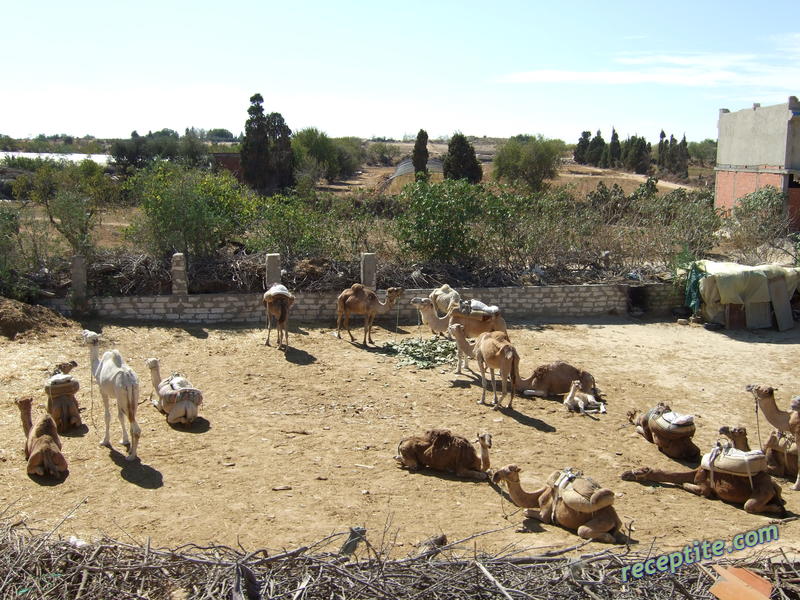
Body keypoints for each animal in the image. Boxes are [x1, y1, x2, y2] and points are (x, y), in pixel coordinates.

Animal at [82, 330, 141, 462]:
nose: (83, 332)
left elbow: (107, 416)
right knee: (131, 421)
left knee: (136, 429)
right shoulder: (118, 397)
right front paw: (124, 440)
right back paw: (131, 451)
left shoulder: (103, 391)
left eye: (88, 336)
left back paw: (131, 457)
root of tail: (129, 382)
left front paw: (104, 441)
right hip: (132, 398)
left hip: (124, 398)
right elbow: (120, 416)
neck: (97, 368)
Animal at [494, 464, 624, 544]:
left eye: (509, 470)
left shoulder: (545, 515)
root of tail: (616, 519)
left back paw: (609, 538)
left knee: (582, 530)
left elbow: (526, 511)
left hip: (602, 520)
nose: (495, 475)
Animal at [620, 440, 788, 516]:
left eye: (639, 472)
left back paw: (777, 509)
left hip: (762, 491)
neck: (695, 471)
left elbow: (700, 489)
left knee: (750, 505)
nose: (624, 474)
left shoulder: (703, 483)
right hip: (773, 486)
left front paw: (686, 484)